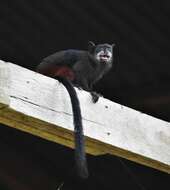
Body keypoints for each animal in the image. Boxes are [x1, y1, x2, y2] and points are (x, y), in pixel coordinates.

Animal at [36, 41, 115, 178]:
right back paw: (74, 84)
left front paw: (94, 91)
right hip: (54, 71)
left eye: (108, 49)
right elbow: (79, 73)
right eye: (101, 48)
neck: (95, 62)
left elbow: (90, 81)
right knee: (69, 70)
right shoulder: (83, 63)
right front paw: (90, 91)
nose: (105, 51)